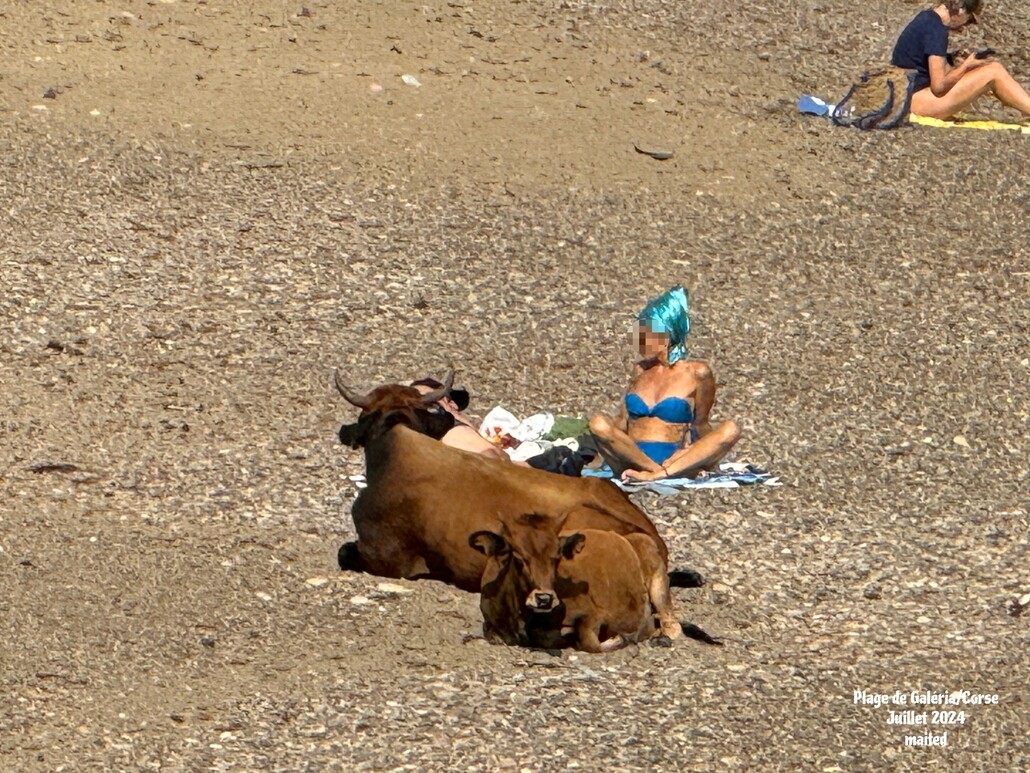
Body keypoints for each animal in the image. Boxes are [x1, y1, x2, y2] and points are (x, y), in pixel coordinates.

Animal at [471, 515, 683, 655]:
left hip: (657, 584)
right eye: (518, 557)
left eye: (557, 557)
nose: (544, 598)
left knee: (671, 623)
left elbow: (591, 643)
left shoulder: (592, 617)